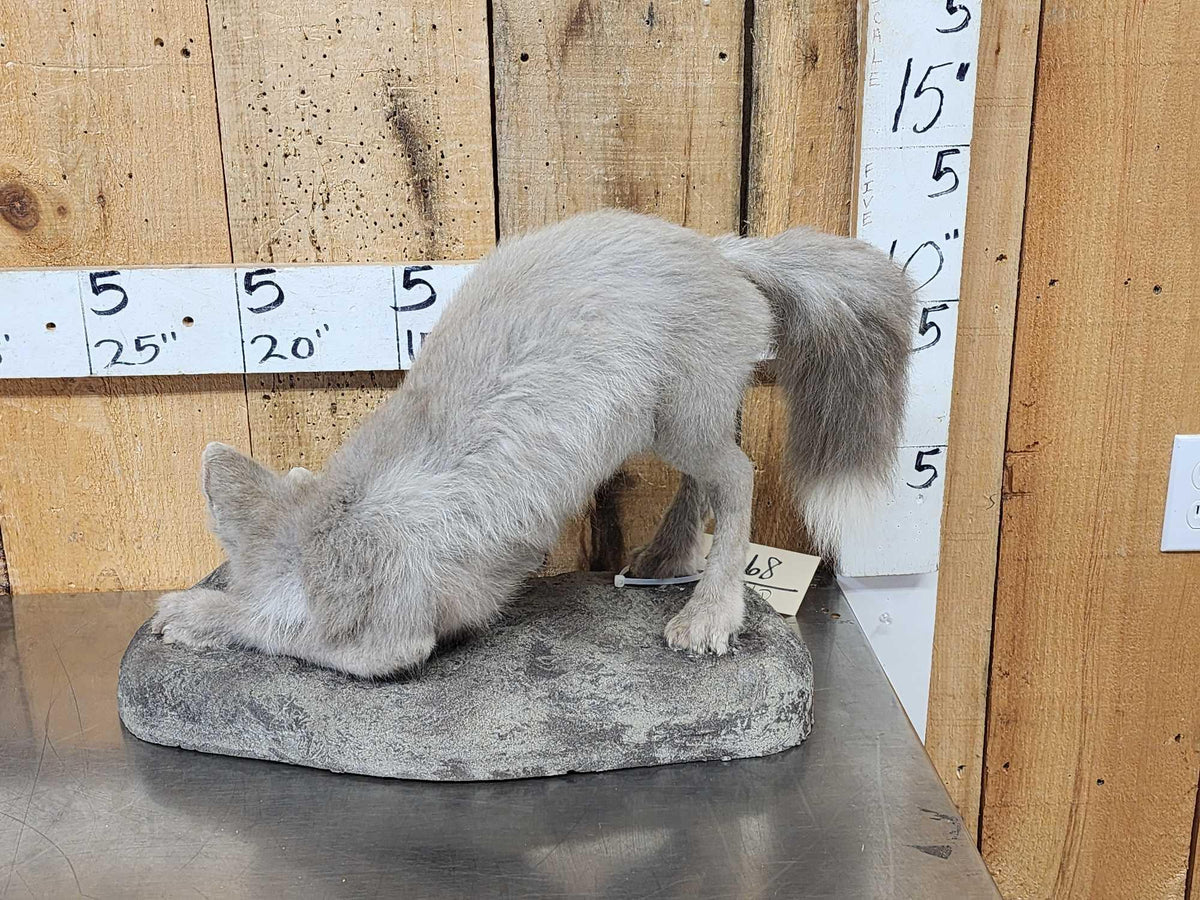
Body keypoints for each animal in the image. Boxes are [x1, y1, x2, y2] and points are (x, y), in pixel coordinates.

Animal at [151, 209, 915, 677]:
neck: (366, 505)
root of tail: (719, 246)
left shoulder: (391, 647)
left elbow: (269, 627)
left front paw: (193, 614)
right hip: (675, 424)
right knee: (708, 481)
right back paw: (667, 558)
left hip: (682, 422)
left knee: (738, 476)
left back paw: (709, 611)